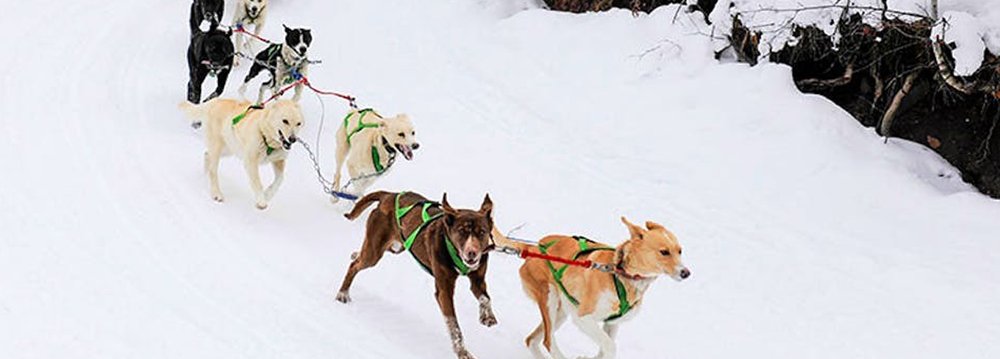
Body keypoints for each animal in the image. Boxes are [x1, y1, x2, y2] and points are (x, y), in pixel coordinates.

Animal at [336, 190, 496, 358]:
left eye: (482, 232)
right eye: (462, 231)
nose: (472, 253)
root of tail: (390, 195)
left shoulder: (478, 280)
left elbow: (485, 298)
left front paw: (487, 316)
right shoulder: (444, 291)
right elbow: (453, 325)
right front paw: (462, 351)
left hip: (396, 247)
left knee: (362, 256)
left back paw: (355, 254)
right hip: (374, 253)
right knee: (355, 266)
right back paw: (343, 293)